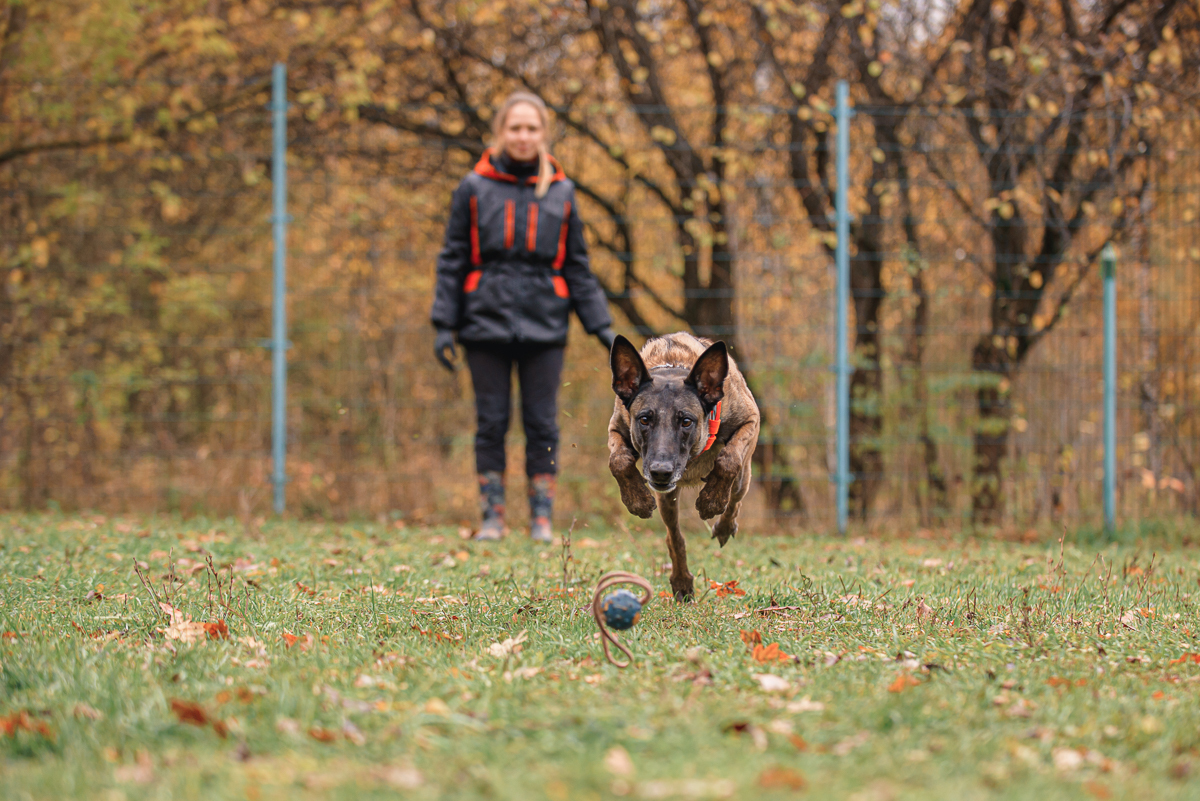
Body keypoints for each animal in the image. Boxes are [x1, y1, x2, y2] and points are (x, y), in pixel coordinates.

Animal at [609, 333, 758, 599]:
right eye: (644, 419)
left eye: (686, 421)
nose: (660, 472)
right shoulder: (617, 427)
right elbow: (618, 461)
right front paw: (637, 500)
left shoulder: (751, 420)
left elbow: (729, 460)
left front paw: (712, 500)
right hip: (667, 498)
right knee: (674, 535)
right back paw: (681, 580)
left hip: (743, 477)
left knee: (735, 498)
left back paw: (724, 525)